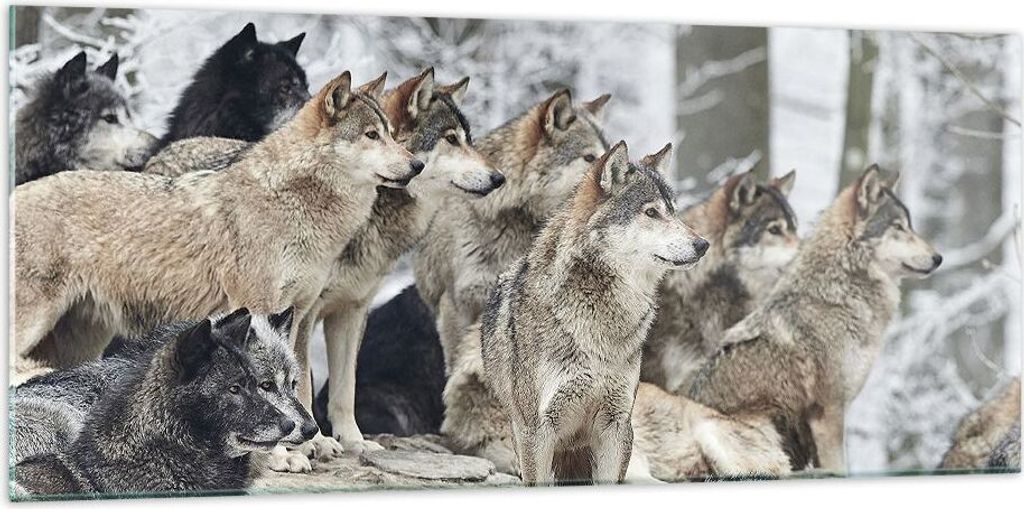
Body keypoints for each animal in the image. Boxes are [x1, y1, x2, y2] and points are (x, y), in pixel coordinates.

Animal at [689, 165, 943, 473]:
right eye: (898, 227)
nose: (938, 258)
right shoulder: (829, 413)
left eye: (909, 225)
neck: (841, 294)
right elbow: (840, 468)